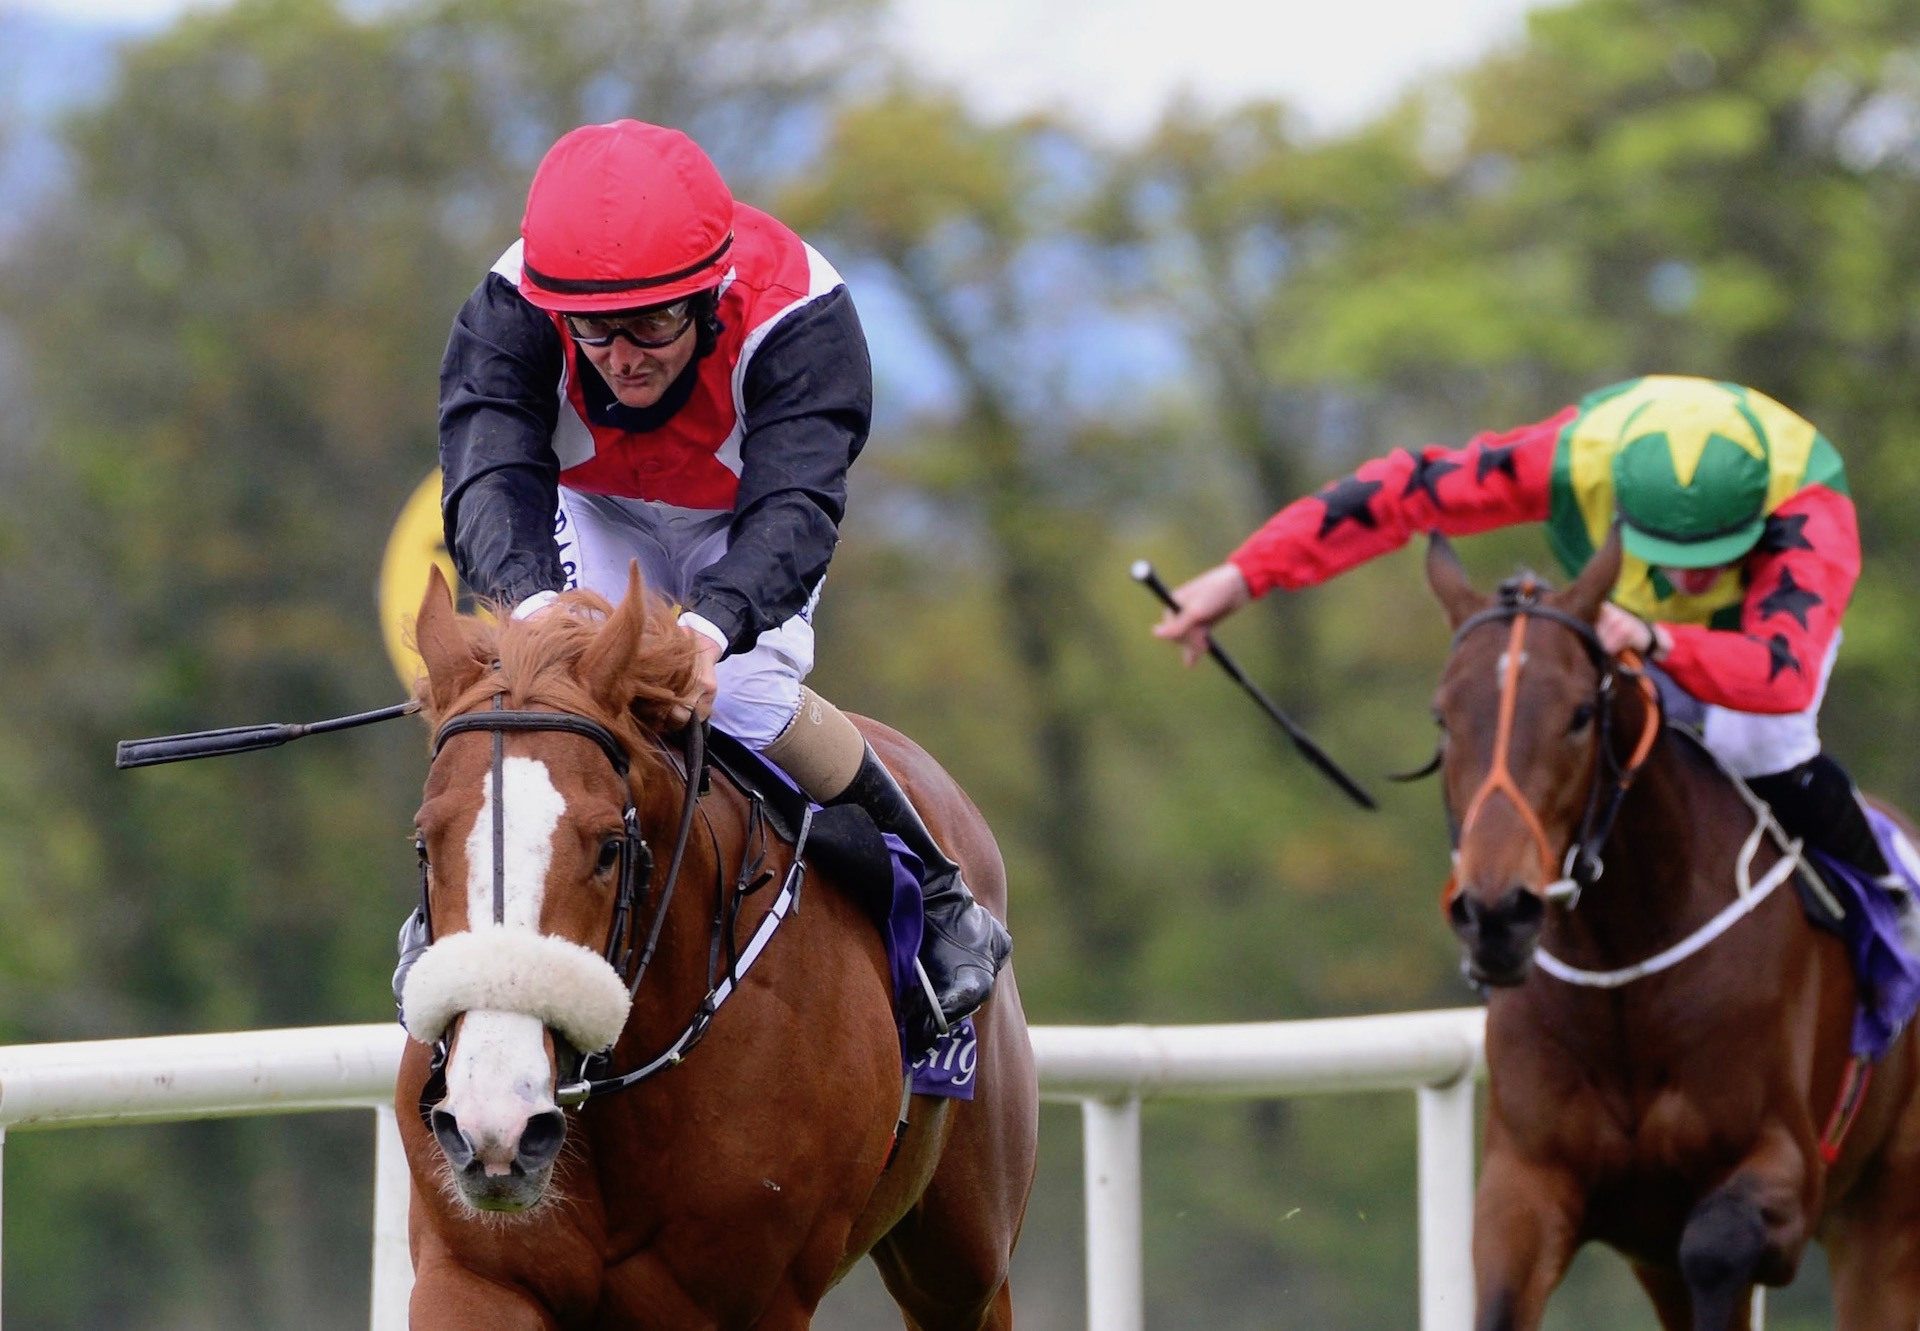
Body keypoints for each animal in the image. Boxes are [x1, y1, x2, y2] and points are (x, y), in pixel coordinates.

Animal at [395, 564, 1044, 1321]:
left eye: (610, 848)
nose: (494, 1122)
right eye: (425, 844)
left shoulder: (760, 1299)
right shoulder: (473, 1275)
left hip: (966, 1262)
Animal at [1428, 530, 1920, 1329]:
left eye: (1578, 714)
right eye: (1442, 718)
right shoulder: (1530, 1182)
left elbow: (1717, 1245)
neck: (1625, 961)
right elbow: (1501, 1295)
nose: (1497, 913)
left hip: (1890, 1212)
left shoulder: (1784, 1170)